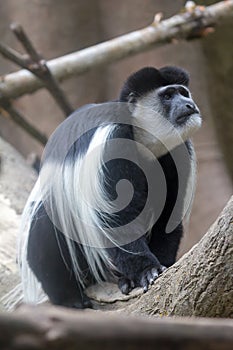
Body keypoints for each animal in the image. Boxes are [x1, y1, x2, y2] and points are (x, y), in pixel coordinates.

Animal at [18, 65, 201, 306]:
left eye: (183, 92)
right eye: (168, 95)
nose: (189, 104)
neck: (142, 138)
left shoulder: (177, 153)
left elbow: (168, 216)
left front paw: (161, 266)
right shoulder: (113, 143)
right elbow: (117, 218)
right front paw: (147, 271)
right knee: (46, 229)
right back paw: (68, 298)